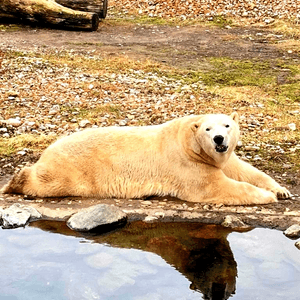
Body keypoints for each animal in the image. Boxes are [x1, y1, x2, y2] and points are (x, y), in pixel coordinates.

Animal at [0, 113, 290, 206]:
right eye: (208, 129)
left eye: (227, 125)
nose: (219, 139)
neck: (186, 140)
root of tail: (48, 149)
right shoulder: (188, 164)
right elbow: (217, 186)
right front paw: (267, 196)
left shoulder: (222, 157)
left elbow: (246, 170)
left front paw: (281, 190)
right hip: (72, 171)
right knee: (45, 180)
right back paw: (14, 182)